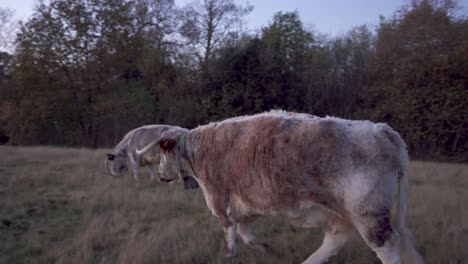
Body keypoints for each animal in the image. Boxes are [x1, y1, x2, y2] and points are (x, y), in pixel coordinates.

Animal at [136, 110, 424, 264]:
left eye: (162, 153)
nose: (160, 175)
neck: (200, 149)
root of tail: (380, 130)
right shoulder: (245, 201)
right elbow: (244, 229)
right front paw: (262, 248)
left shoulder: (217, 196)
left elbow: (229, 229)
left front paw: (230, 254)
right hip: (343, 213)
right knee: (336, 238)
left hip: (368, 213)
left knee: (386, 246)